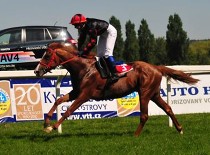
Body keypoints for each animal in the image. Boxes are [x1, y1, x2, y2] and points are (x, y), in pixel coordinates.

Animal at [34, 41, 199, 136]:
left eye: (47, 56)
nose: (36, 71)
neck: (84, 68)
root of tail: (156, 67)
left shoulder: (85, 95)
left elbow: (69, 110)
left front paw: (53, 127)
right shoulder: (76, 92)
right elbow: (58, 100)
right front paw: (46, 123)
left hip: (145, 93)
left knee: (144, 115)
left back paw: (135, 136)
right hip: (154, 94)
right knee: (168, 108)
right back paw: (179, 129)